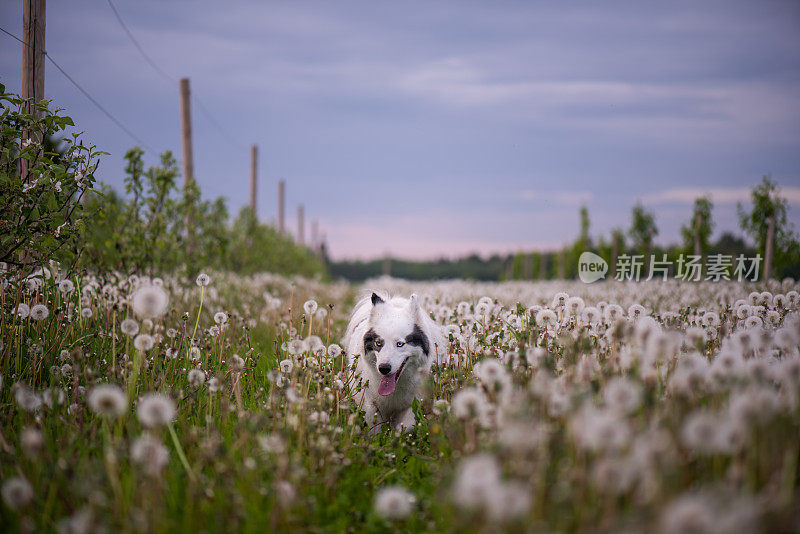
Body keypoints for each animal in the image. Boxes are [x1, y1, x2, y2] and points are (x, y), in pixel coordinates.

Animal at [342, 294, 446, 436]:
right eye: (378, 343)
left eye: (400, 344)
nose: (384, 368)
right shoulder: (371, 405)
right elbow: (375, 431)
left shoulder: (412, 404)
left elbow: (403, 428)